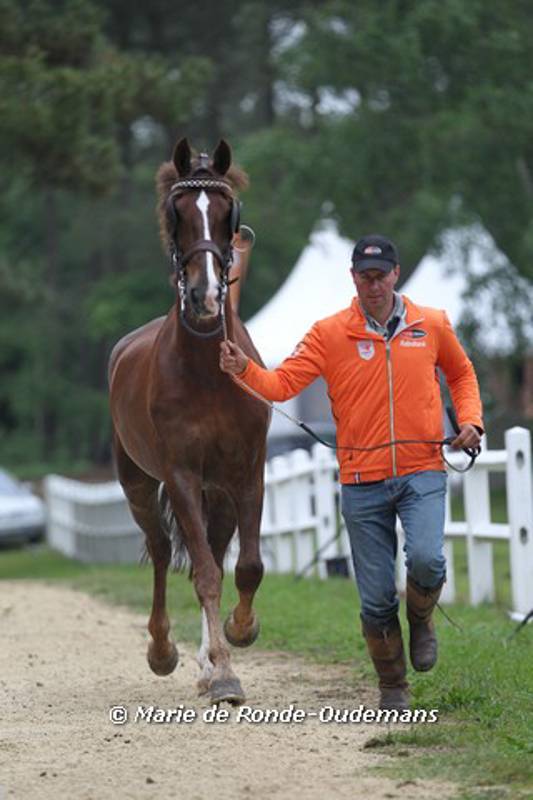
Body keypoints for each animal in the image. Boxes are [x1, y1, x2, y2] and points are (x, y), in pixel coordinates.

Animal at [108, 137, 270, 704]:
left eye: (226, 212)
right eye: (176, 212)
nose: (205, 297)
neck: (206, 370)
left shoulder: (246, 473)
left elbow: (245, 566)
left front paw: (237, 635)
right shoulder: (179, 476)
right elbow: (201, 574)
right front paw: (222, 671)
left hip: (216, 491)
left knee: (219, 551)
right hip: (139, 483)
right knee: (161, 550)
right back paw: (164, 650)